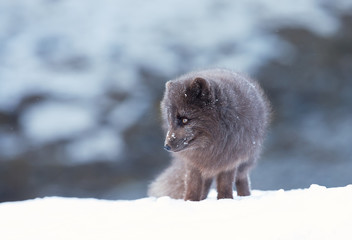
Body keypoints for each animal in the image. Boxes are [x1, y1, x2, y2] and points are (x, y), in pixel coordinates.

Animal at [147, 68, 270, 201]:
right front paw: (190, 201)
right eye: (170, 120)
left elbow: (225, 184)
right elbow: (192, 185)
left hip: (245, 162)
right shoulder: (193, 163)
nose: (166, 146)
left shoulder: (229, 160)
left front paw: (225, 200)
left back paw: (245, 195)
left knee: (241, 178)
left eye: (185, 120)